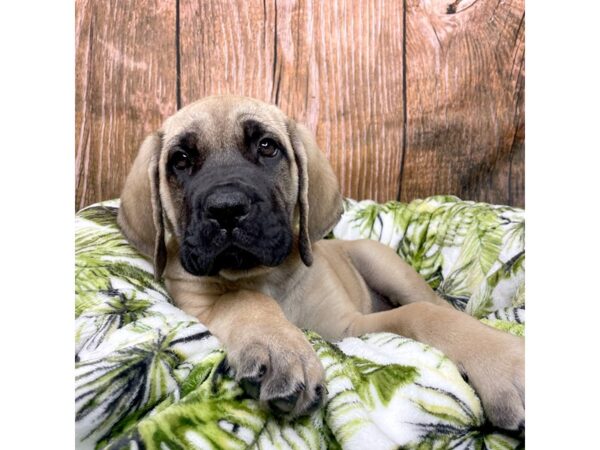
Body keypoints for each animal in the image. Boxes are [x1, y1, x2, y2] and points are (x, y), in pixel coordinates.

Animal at [119, 96, 524, 432]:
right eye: (180, 160)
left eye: (267, 147)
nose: (227, 208)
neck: (264, 277)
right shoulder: (196, 303)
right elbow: (240, 299)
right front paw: (282, 346)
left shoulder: (349, 328)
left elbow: (422, 315)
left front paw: (503, 361)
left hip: (381, 262)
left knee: (434, 303)